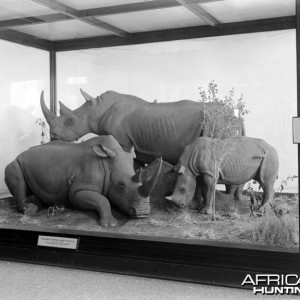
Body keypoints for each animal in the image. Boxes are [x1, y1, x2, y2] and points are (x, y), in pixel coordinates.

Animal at [4, 135, 162, 226]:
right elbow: (102, 200)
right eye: (121, 185)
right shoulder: (78, 192)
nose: (142, 212)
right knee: (15, 174)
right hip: (16, 162)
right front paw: (110, 224)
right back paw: (31, 209)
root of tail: (20, 154)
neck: (108, 163)